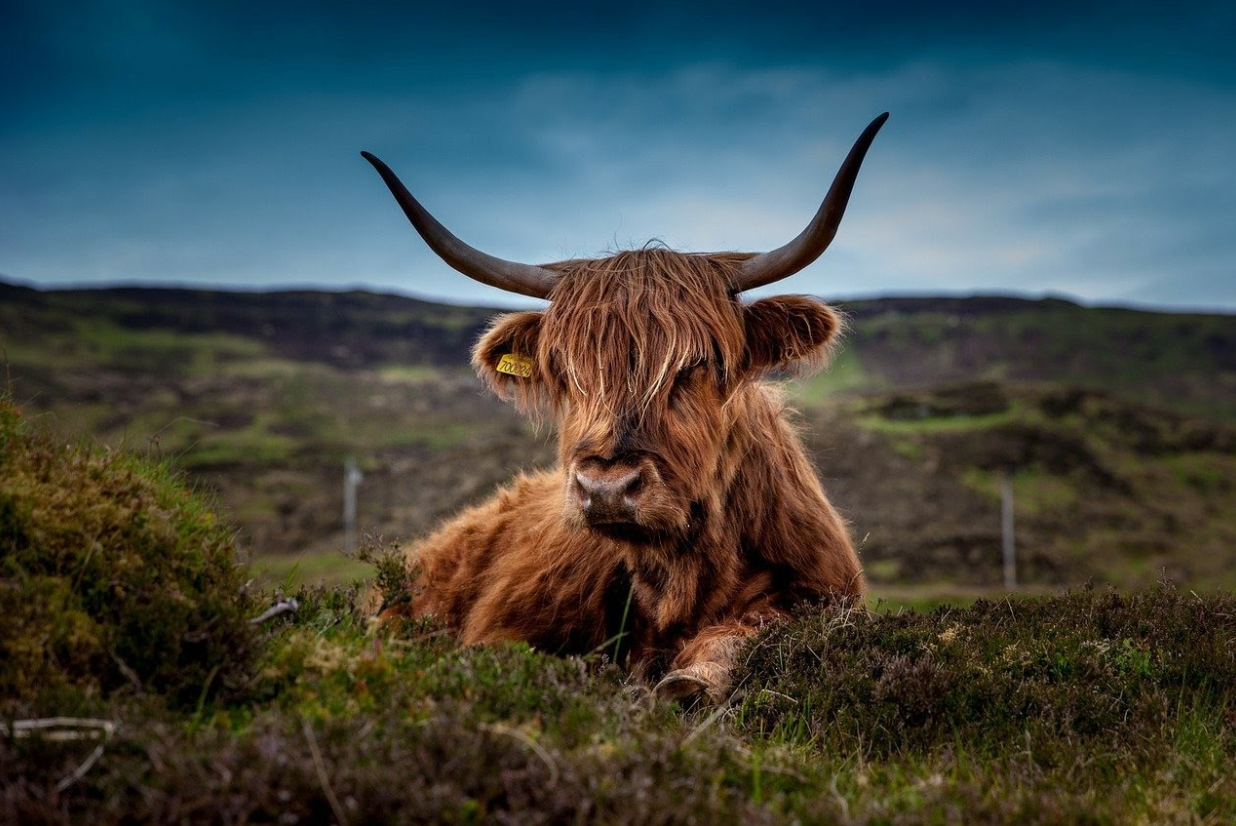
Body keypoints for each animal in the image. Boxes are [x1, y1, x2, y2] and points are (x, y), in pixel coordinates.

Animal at [360, 111, 889, 702]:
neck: (680, 579)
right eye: (565, 370)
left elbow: (749, 631)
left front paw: (690, 679)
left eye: (697, 363)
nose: (606, 488)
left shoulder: (821, 595)